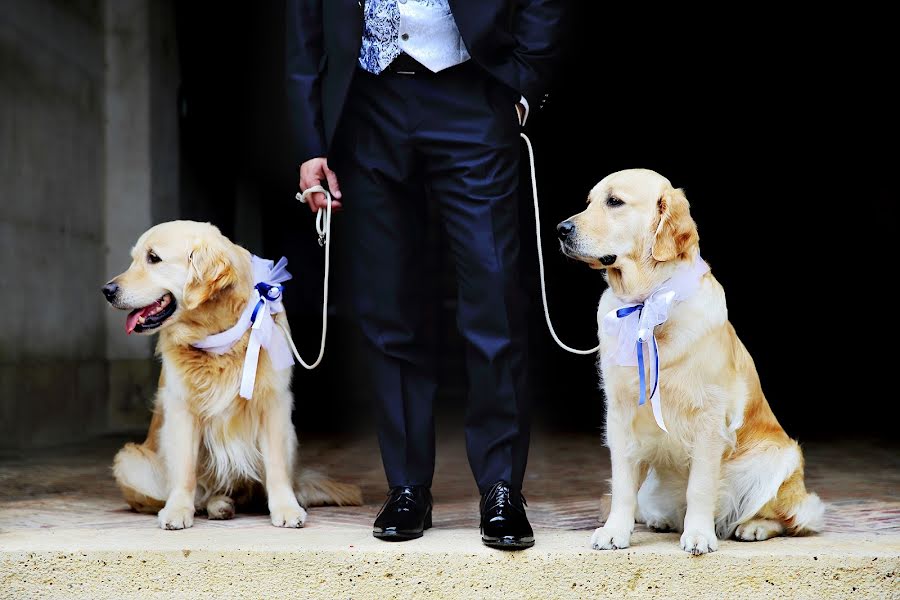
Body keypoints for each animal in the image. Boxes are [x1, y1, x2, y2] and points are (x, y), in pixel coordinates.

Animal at [102, 220, 362, 528]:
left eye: (153, 258)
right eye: (134, 259)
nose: (107, 290)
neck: (216, 335)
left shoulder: (273, 403)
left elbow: (276, 467)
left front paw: (286, 508)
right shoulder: (181, 408)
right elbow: (185, 469)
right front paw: (177, 509)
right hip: (129, 460)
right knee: (202, 493)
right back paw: (217, 505)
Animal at [560, 168, 828, 552]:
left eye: (614, 201)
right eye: (589, 202)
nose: (561, 229)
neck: (650, 300)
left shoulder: (710, 418)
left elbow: (700, 486)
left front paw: (699, 535)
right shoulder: (620, 413)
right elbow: (622, 485)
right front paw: (615, 531)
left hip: (778, 459)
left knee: (793, 518)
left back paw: (753, 528)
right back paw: (660, 521)